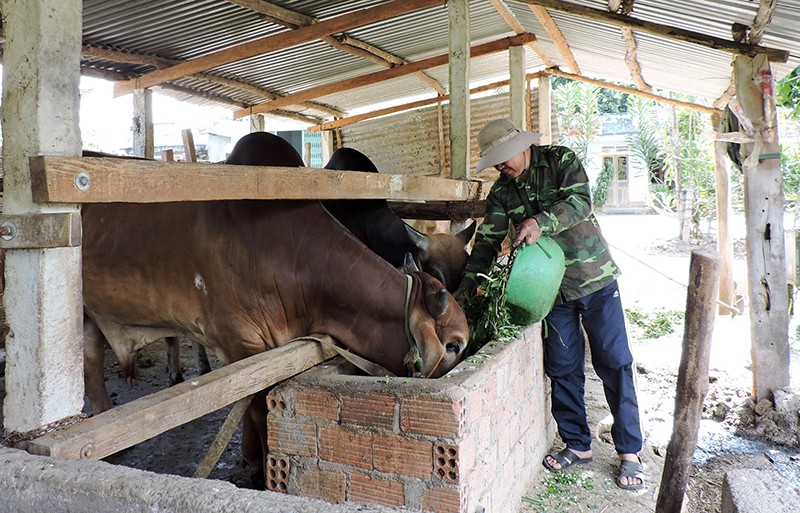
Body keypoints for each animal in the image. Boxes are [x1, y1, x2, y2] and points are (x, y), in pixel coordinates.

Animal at [81, 197, 468, 484]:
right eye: (454, 345)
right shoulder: (241, 345)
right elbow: (255, 407)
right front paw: (261, 467)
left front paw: (251, 459)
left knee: (91, 360)